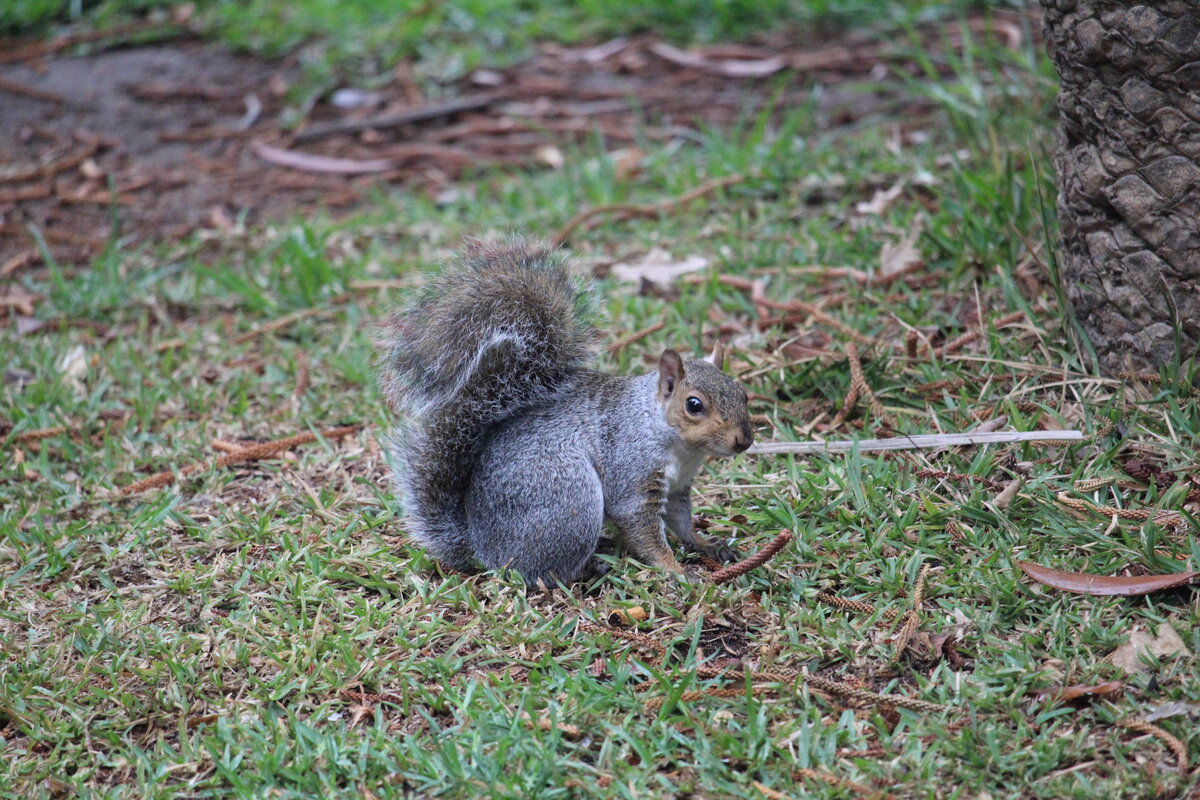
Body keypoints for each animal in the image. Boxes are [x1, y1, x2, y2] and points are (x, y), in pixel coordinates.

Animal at [379, 235, 753, 585]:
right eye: (694, 405)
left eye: (743, 394)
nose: (744, 441)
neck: (673, 439)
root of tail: (481, 547)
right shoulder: (633, 470)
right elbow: (641, 527)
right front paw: (675, 569)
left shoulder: (677, 487)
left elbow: (681, 521)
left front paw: (706, 545)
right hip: (569, 496)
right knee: (534, 572)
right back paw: (588, 569)